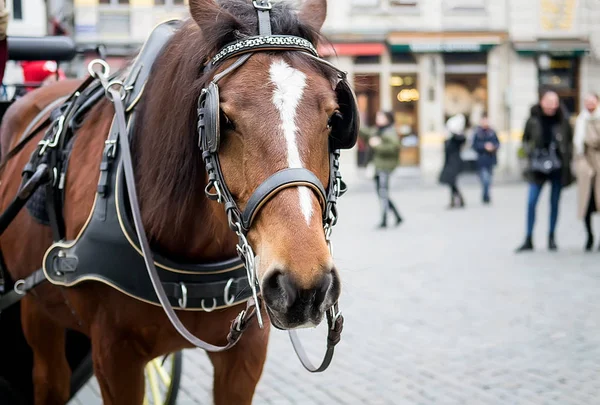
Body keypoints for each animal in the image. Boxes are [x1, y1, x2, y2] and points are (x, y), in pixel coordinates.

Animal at [0, 0, 346, 404]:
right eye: (222, 118)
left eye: (335, 117)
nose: (304, 286)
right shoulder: (114, 356)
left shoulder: (245, 354)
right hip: (37, 312)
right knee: (49, 378)